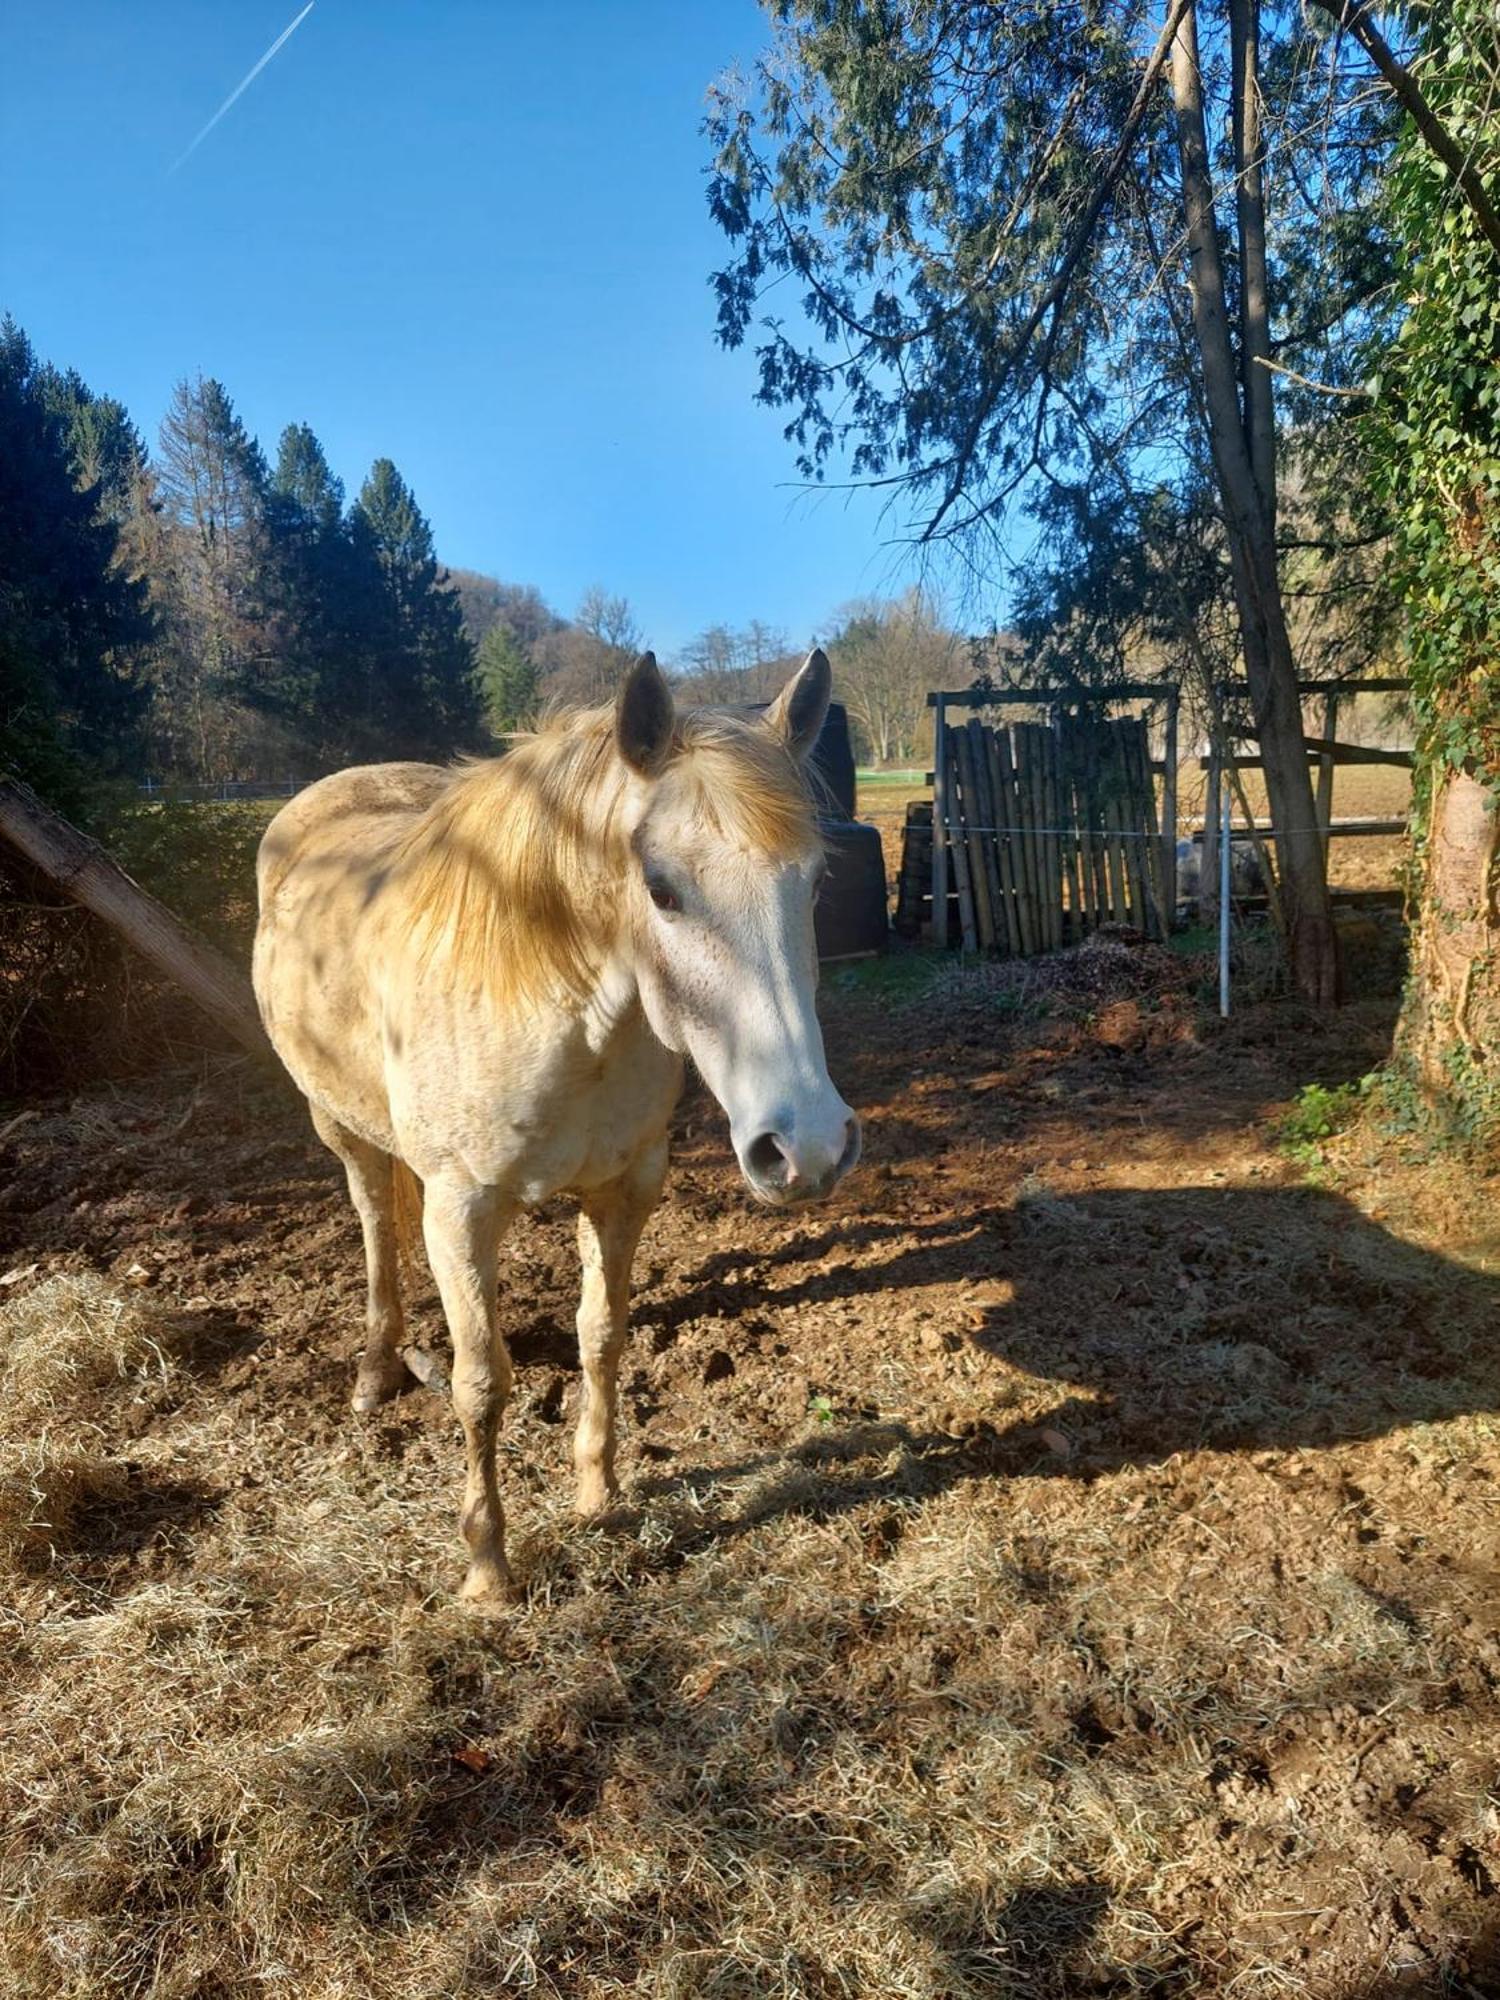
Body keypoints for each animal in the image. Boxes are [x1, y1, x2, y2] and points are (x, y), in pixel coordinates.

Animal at [254, 648, 864, 1600]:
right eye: (661, 889)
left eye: (817, 881)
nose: (806, 1149)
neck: (561, 1015)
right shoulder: (462, 1207)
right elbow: (480, 1383)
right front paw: (487, 1570)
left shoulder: (624, 1190)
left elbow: (601, 1337)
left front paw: (598, 1496)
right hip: (339, 1127)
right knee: (375, 1225)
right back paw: (375, 1370)